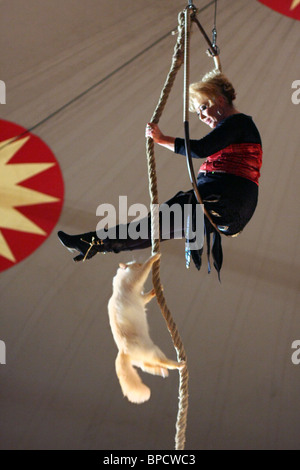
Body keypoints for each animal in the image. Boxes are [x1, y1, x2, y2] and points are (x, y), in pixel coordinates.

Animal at [108, 253, 183, 404]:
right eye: (136, 265)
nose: (139, 263)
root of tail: (123, 352)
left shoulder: (141, 298)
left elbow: (147, 296)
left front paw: (155, 290)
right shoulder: (136, 280)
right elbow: (146, 269)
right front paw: (155, 257)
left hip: (144, 360)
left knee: (150, 367)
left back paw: (163, 372)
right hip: (154, 351)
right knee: (163, 362)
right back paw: (179, 365)